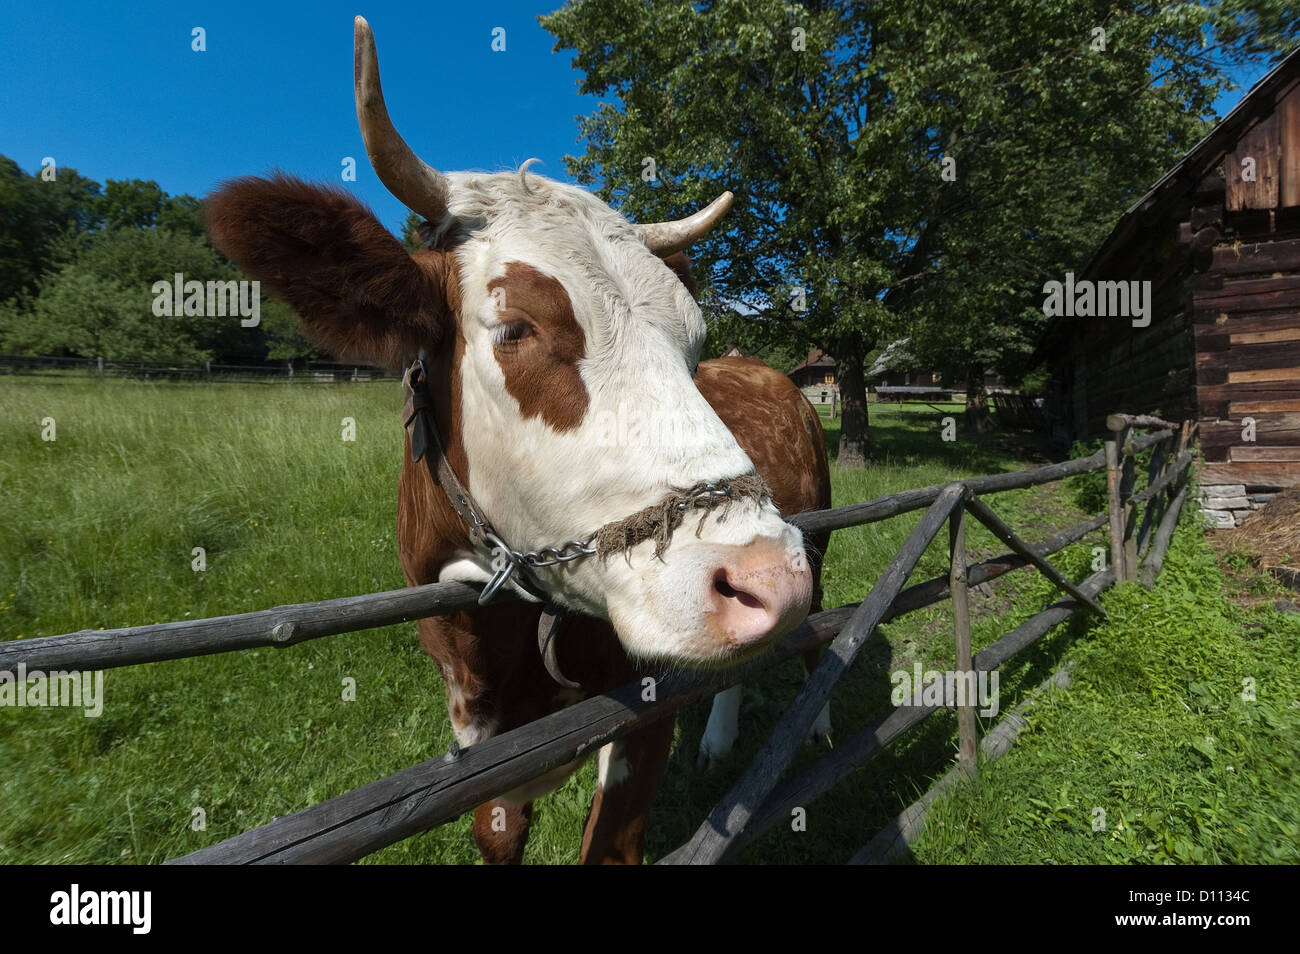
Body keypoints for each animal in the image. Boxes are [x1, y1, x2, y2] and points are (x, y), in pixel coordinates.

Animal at [205, 16, 830, 864]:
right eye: (516, 328)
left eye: (693, 342)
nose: (765, 577)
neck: (497, 648)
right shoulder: (477, 740)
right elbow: (495, 829)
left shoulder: (645, 723)